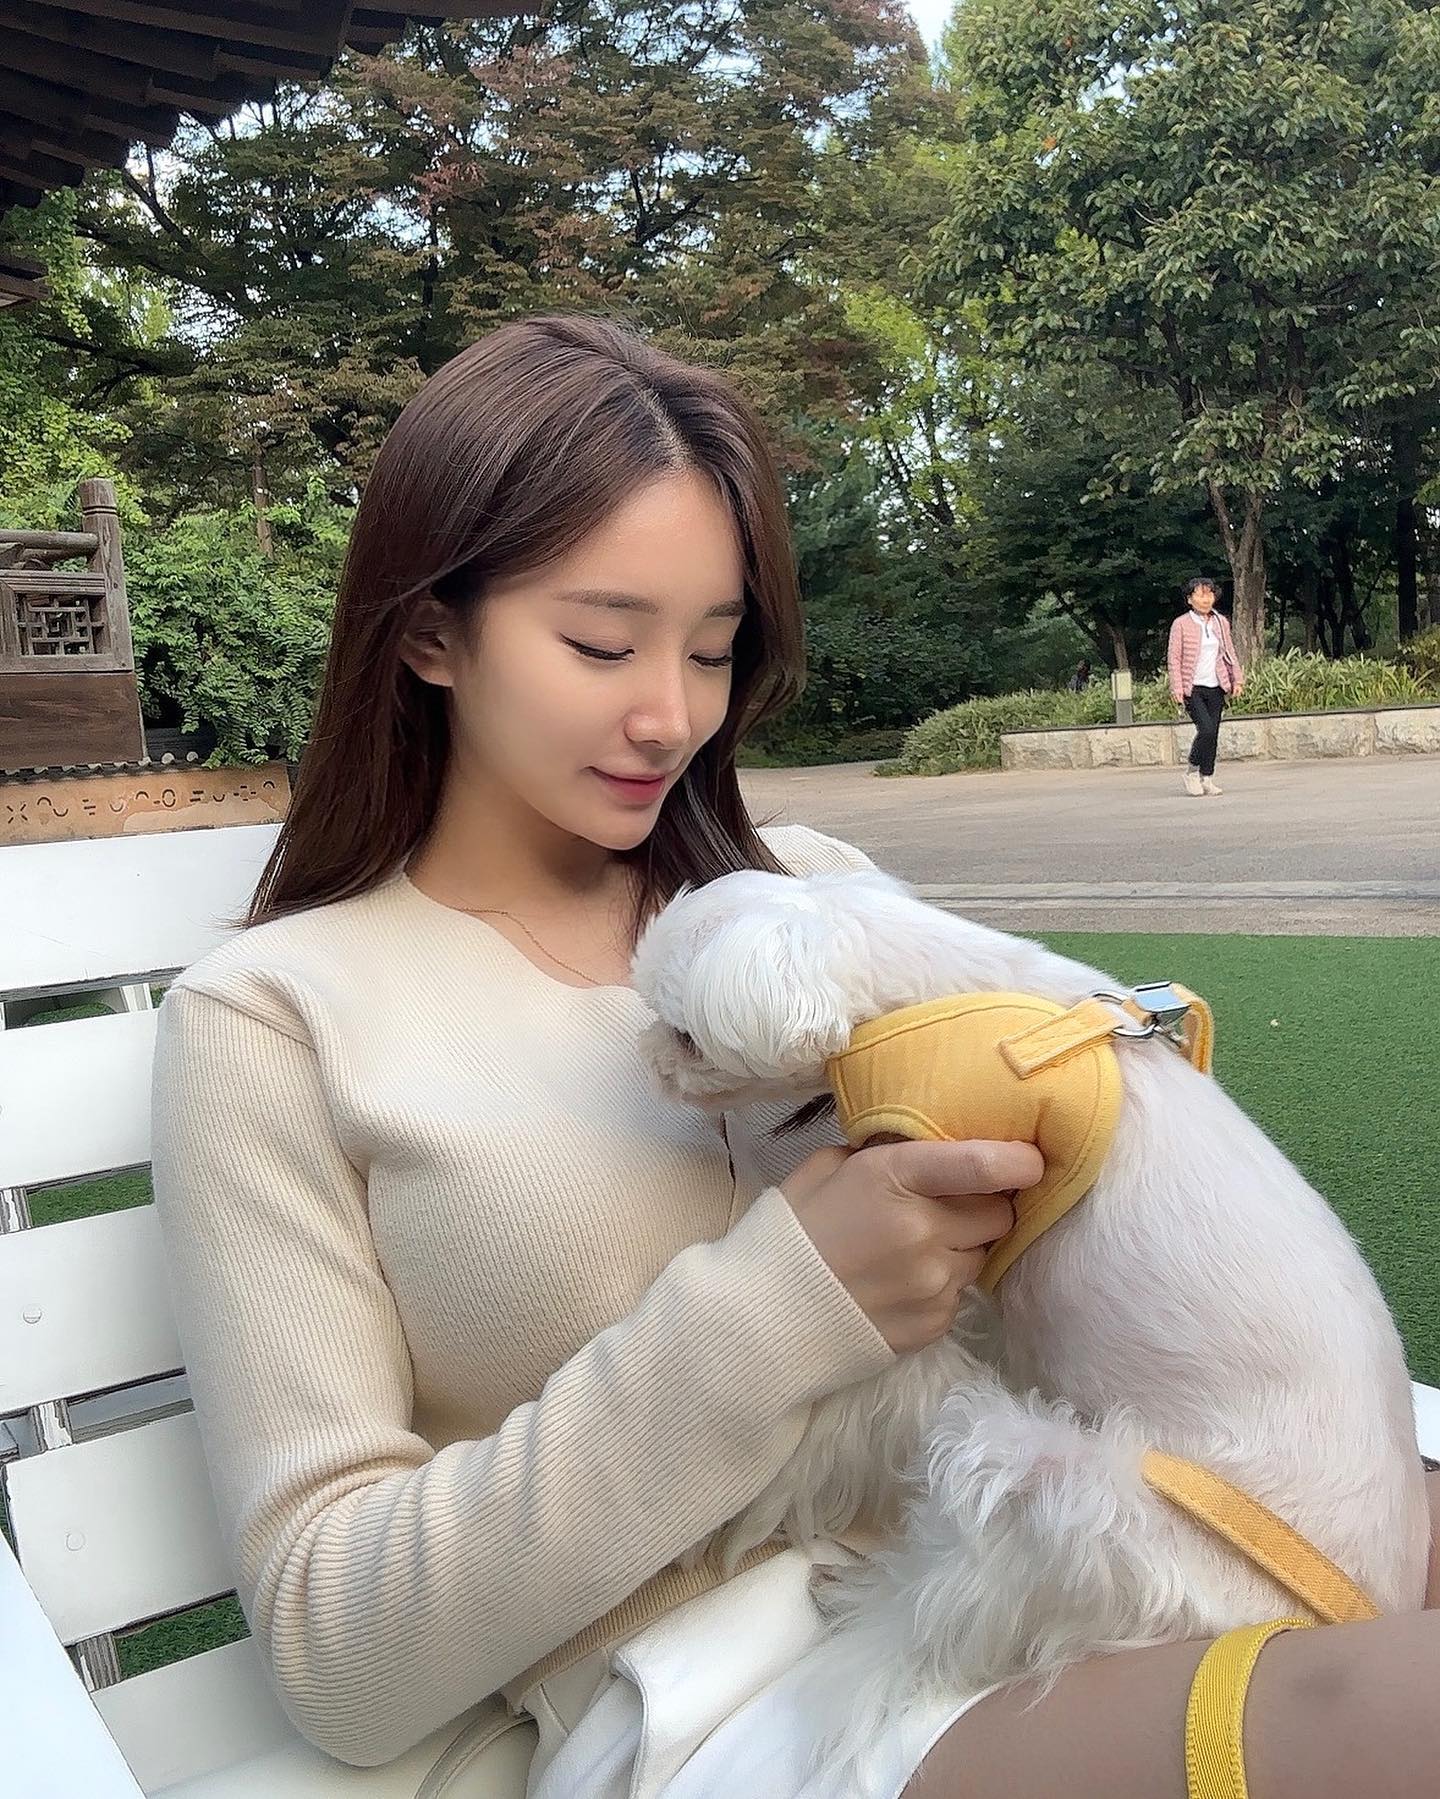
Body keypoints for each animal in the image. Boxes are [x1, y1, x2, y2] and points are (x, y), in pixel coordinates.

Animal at [631, 867, 1429, 1764]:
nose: (645, 1060)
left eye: (684, 1033)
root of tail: (1321, 1615)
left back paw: (865, 1596)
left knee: (947, 1596)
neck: (943, 993)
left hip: (1055, 1486)